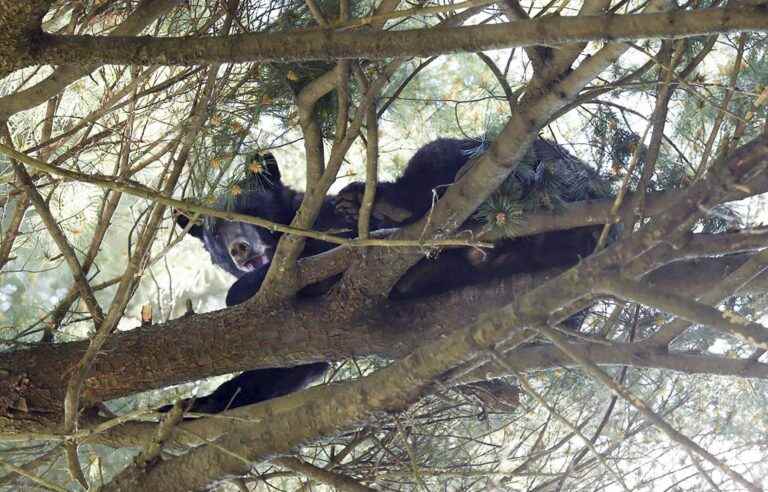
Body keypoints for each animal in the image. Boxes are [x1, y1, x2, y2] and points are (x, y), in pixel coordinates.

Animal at [170, 136, 612, 414]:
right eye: (213, 231)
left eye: (249, 209)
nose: (239, 249)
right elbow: (286, 369)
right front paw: (196, 405)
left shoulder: (330, 233)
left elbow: (321, 259)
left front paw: (240, 289)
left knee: (439, 162)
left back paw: (386, 201)